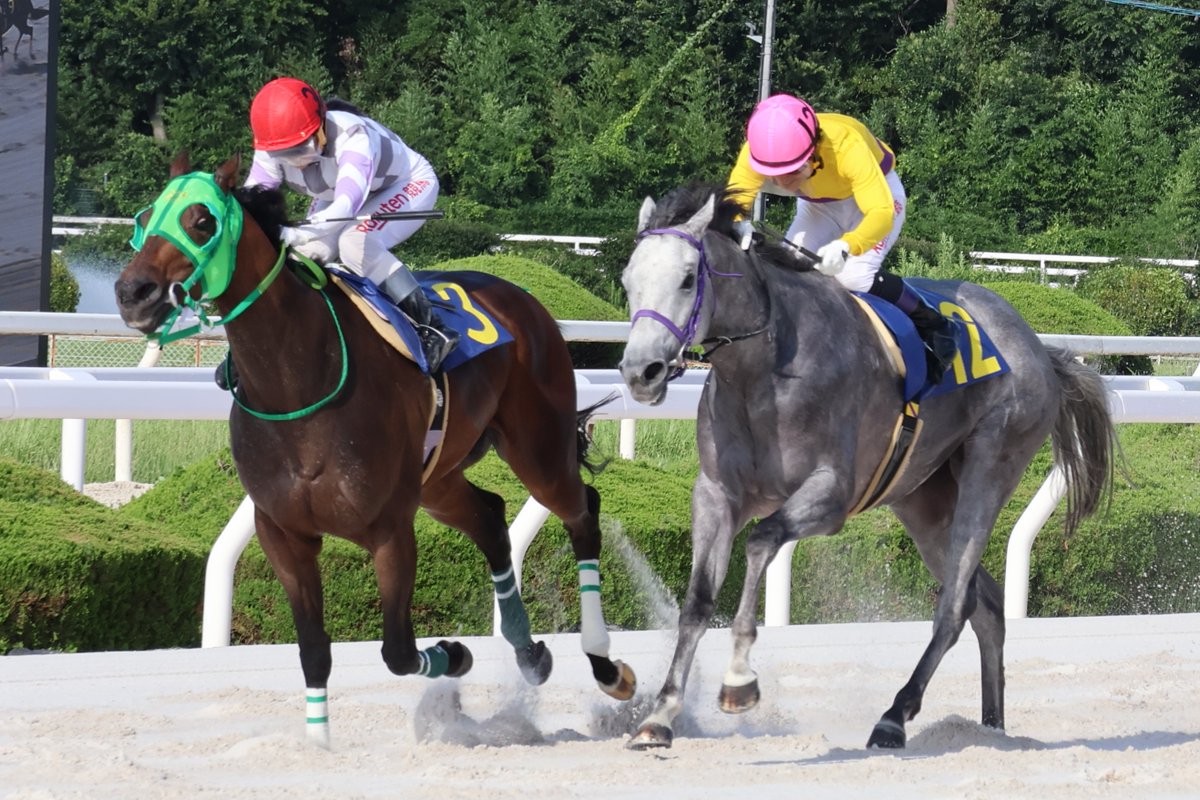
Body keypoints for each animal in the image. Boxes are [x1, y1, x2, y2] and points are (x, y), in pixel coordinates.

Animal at [114, 152, 636, 747]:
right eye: (146, 216)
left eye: (201, 221)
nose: (133, 292)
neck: (297, 380)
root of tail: (522, 297)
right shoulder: (283, 533)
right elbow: (314, 653)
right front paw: (319, 746)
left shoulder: (390, 528)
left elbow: (399, 652)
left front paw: (455, 654)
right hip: (438, 478)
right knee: (489, 516)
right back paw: (529, 652)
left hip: (538, 450)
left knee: (582, 512)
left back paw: (606, 666)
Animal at [617, 183, 1115, 750]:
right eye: (628, 280)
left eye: (686, 278)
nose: (641, 372)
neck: (764, 369)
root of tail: (1036, 344)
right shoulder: (716, 494)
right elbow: (698, 600)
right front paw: (661, 715)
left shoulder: (831, 496)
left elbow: (762, 541)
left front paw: (739, 679)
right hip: (923, 504)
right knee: (984, 605)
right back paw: (990, 727)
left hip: (992, 465)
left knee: (953, 606)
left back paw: (894, 716)